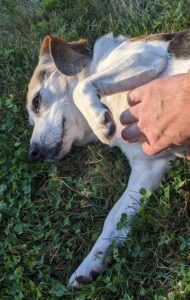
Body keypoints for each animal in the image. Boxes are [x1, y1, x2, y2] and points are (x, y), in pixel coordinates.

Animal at [26, 29, 190, 288]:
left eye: (36, 101)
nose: (32, 153)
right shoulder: (148, 167)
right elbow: (114, 219)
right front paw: (92, 262)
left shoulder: (146, 56)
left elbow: (80, 87)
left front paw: (99, 120)